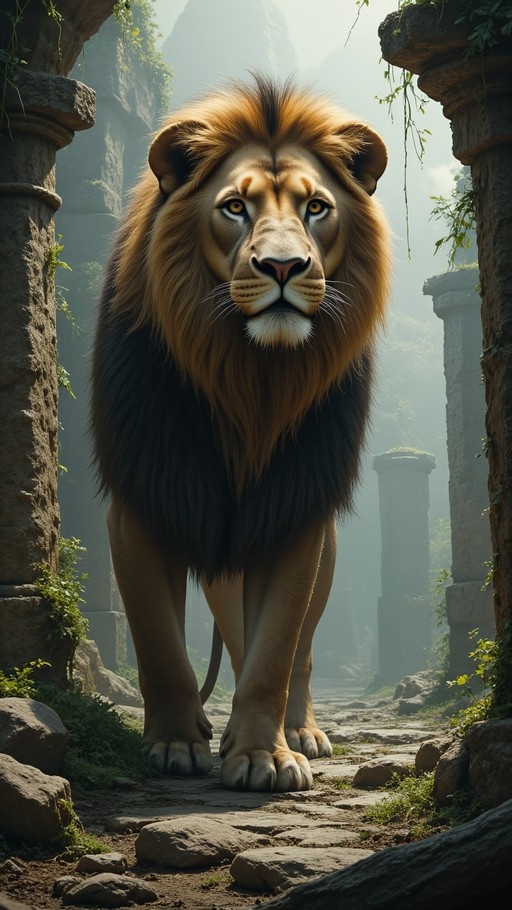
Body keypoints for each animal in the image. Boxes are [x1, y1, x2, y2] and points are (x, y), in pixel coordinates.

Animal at [91, 76, 391, 792]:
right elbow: (159, 642)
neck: (249, 380)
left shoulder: (293, 507)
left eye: (316, 207)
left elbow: (277, 649)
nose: (283, 267)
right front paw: (176, 744)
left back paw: (300, 732)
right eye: (234, 207)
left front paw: (263, 756)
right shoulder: (141, 498)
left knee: (301, 651)